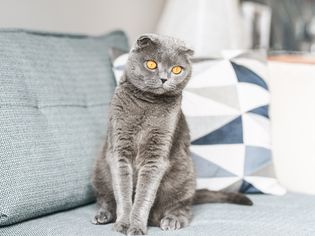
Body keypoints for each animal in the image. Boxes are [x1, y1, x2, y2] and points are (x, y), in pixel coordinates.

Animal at [92, 34, 254, 235]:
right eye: (151, 64)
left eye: (177, 69)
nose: (164, 79)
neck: (147, 105)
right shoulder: (119, 149)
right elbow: (123, 192)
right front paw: (123, 224)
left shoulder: (156, 155)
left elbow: (143, 196)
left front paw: (136, 226)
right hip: (100, 169)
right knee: (105, 198)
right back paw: (103, 215)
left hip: (184, 174)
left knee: (183, 207)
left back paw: (172, 220)